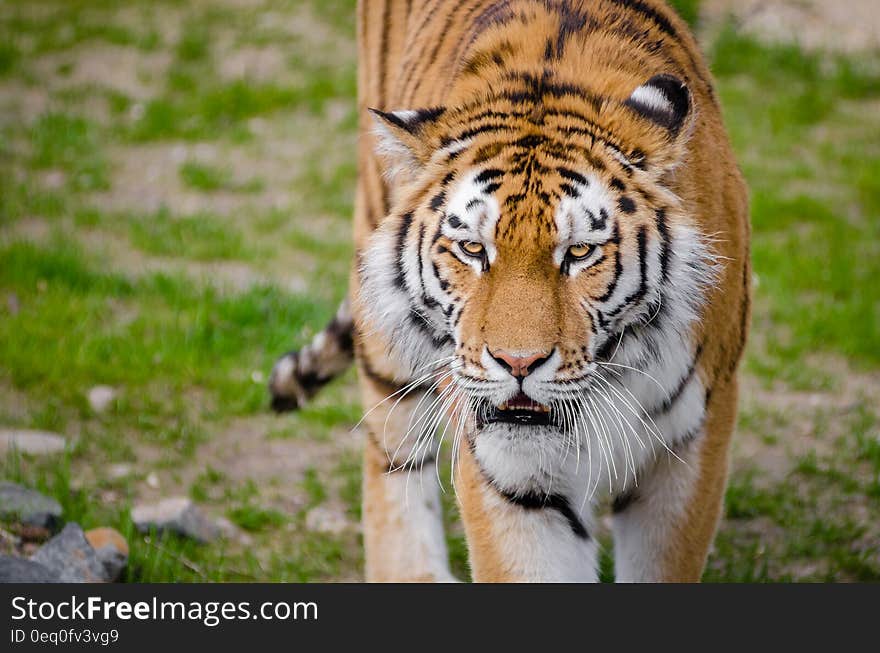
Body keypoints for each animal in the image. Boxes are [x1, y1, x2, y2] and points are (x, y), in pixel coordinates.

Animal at [270, 0, 748, 580]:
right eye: (473, 249)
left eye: (579, 252)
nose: (518, 364)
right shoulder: (508, 472)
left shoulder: (691, 446)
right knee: (392, 456)